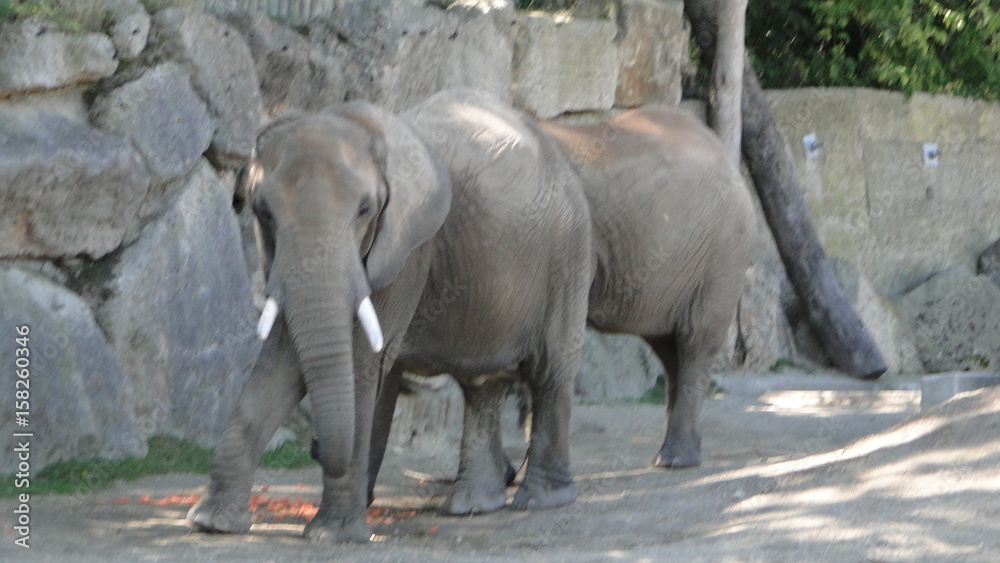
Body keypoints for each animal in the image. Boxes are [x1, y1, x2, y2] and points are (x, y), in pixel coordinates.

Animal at [186, 89, 593, 542]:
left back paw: (542, 500)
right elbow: (282, 359)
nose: (314, 447)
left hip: (569, 255)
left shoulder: (409, 249)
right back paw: (473, 505)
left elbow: (360, 362)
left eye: (365, 210)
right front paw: (212, 523)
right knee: (483, 384)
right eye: (262, 212)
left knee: (551, 371)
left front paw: (333, 536)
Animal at [440, 105, 757, 514]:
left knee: (695, 339)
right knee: (668, 347)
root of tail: (724, 154)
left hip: (723, 250)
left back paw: (672, 461)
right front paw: (511, 476)